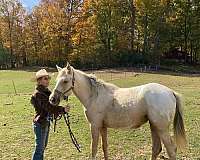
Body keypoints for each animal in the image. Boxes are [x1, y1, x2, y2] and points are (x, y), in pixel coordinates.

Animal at [49, 63, 187, 160]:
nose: (52, 99)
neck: (94, 95)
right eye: (56, 80)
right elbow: (104, 147)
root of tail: (170, 92)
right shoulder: (102, 127)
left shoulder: (94, 126)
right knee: (156, 148)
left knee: (171, 150)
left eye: (65, 81)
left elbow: (93, 149)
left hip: (161, 128)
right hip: (154, 126)